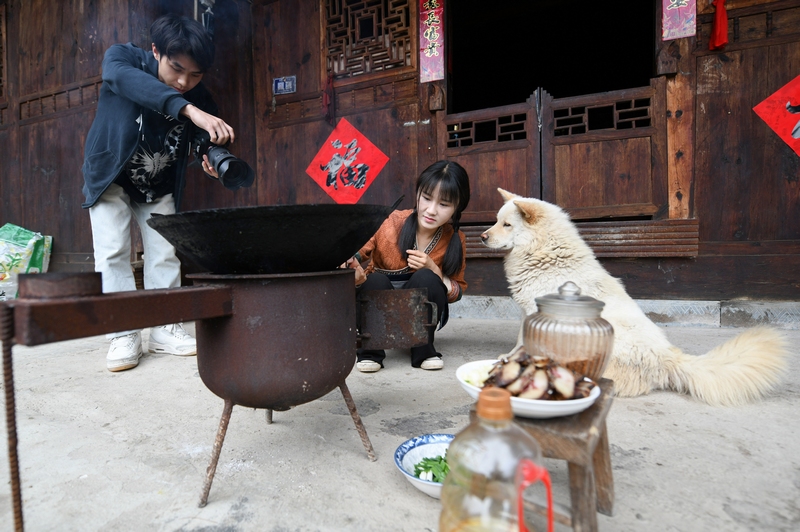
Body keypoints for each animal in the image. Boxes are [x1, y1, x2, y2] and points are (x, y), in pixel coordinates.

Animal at [482, 189, 788, 406]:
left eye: (507, 224)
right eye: (496, 221)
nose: (483, 237)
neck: (546, 253)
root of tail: (667, 358)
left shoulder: (534, 314)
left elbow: (522, 342)